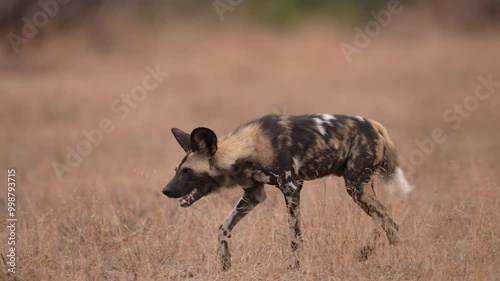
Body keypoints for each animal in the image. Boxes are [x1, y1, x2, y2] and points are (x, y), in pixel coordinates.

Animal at [162, 113, 412, 270]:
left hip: (355, 187)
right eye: (176, 170)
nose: (166, 190)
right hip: (360, 187)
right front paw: (225, 263)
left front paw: (294, 268)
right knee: (385, 218)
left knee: (388, 221)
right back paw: (372, 255)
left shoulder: (291, 188)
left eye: (187, 172)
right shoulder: (253, 195)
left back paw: (386, 262)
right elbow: (223, 227)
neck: (248, 149)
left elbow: (295, 237)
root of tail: (375, 126)